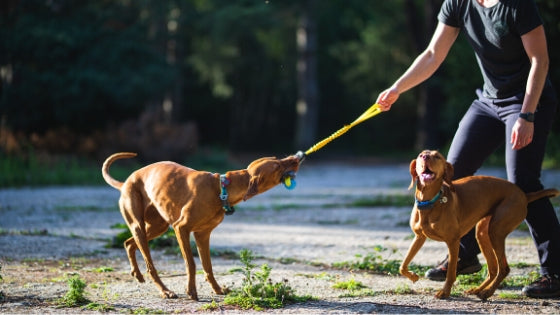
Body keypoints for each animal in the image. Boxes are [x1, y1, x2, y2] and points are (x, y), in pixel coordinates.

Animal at [100, 153, 302, 302]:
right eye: (277, 166)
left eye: (278, 158)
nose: (297, 158)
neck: (221, 189)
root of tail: (125, 182)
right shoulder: (181, 229)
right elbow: (191, 263)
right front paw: (191, 292)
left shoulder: (202, 235)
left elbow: (208, 266)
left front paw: (218, 289)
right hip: (140, 226)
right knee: (150, 265)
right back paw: (165, 291)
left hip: (158, 227)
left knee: (128, 243)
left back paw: (137, 274)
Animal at [400, 151, 556, 302]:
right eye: (421, 155)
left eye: (437, 156)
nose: (425, 157)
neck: (430, 202)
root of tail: (524, 195)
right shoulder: (419, 237)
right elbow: (403, 265)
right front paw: (413, 276)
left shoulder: (453, 241)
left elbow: (451, 272)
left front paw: (445, 292)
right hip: (483, 234)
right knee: (493, 270)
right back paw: (478, 289)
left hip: (496, 231)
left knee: (503, 268)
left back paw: (487, 292)